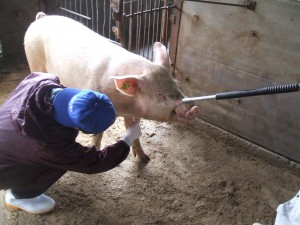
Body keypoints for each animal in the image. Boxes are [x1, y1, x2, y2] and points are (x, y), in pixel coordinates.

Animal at [24, 12, 199, 163]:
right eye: (159, 94)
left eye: (176, 84)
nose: (194, 108)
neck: (123, 105)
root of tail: (42, 18)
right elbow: (99, 134)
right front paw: (95, 150)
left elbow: (131, 129)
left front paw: (145, 159)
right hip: (33, 60)